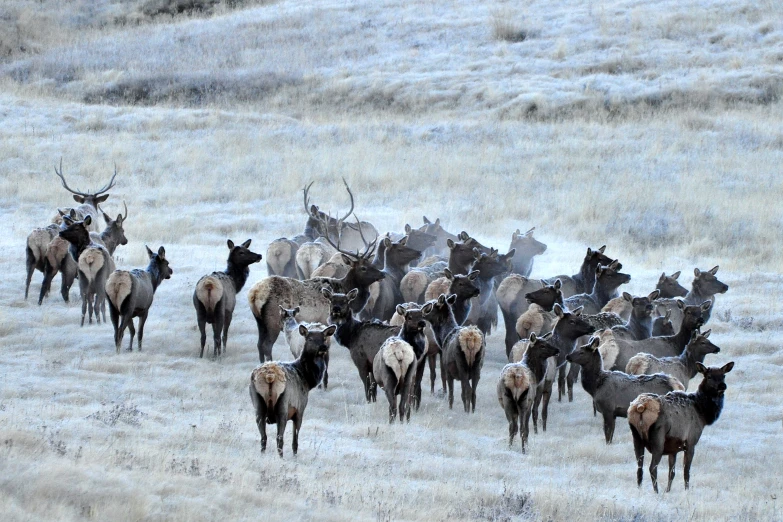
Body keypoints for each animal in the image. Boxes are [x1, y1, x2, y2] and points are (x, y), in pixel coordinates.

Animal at [251, 322, 336, 452]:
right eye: (310, 338)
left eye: (324, 338)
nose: (323, 347)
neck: (307, 380)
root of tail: (269, 376)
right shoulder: (300, 409)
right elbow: (295, 441)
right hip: (283, 407)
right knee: (279, 439)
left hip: (258, 405)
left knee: (263, 438)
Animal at [632, 360, 736, 490]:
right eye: (709, 376)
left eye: (723, 375)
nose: (722, 386)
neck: (702, 413)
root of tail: (641, 407)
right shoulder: (691, 441)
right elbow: (686, 471)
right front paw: (687, 490)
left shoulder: (673, 448)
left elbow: (671, 473)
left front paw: (668, 491)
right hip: (658, 438)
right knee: (652, 468)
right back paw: (656, 491)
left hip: (636, 436)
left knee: (639, 468)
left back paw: (640, 489)